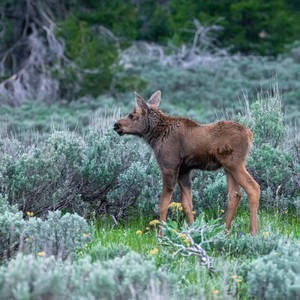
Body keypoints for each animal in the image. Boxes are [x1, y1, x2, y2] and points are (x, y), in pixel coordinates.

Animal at [114, 90, 260, 236]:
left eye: (132, 114)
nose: (116, 125)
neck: (155, 137)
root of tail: (249, 134)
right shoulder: (184, 171)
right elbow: (186, 204)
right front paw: (192, 230)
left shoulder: (169, 167)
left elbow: (163, 203)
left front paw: (161, 234)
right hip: (227, 167)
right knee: (234, 194)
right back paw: (224, 232)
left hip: (235, 164)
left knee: (253, 188)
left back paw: (252, 231)